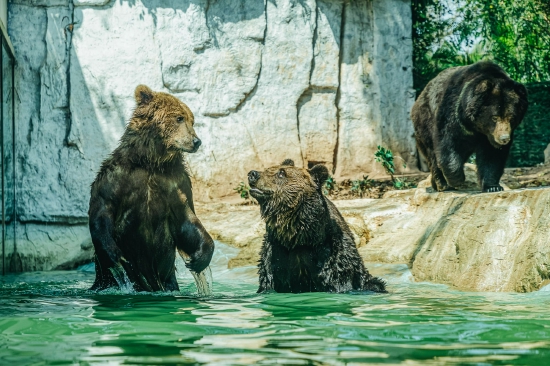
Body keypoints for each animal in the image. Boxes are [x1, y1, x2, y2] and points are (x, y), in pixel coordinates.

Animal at [88, 85, 213, 292]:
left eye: (191, 120)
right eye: (179, 118)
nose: (196, 141)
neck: (151, 162)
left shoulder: (176, 184)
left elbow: (186, 220)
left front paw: (199, 258)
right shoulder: (115, 178)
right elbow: (103, 212)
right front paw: (117, 256)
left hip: (168, 278)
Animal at [248, 159, 386, 294]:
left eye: (281, 173)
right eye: (267, 169)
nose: (252, 174)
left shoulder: (331, 255)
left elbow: (336, 278)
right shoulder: (274, 254)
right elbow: (268, 280)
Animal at [414, 60, 532, 192]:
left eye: (511, 117)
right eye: (494, 117)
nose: (504, 139)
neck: (476, 126)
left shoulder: (489, 136)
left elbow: (492, 156)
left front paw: (493, 187)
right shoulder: (453, 111)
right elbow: (447, 141)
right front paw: (457, 180)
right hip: (424, 122)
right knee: (432, 154)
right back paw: (442, 184)